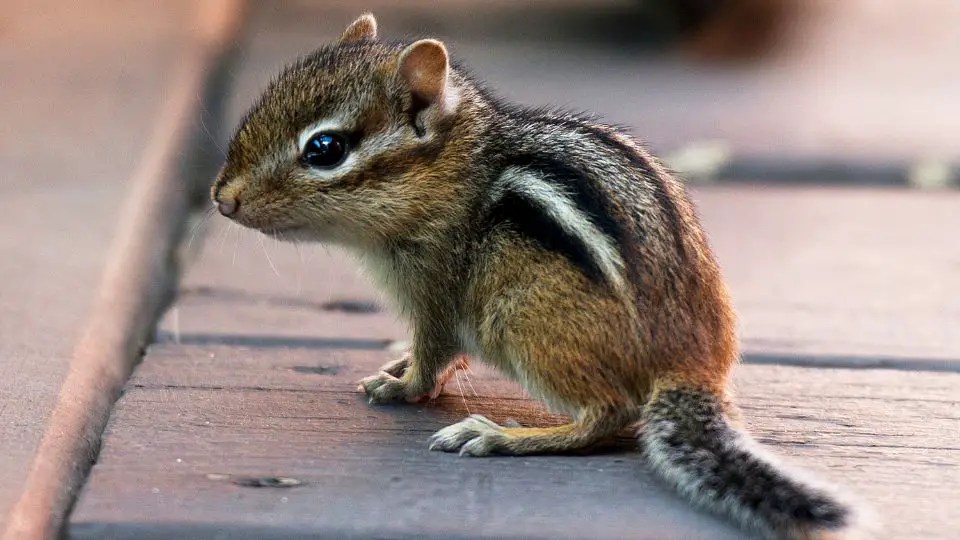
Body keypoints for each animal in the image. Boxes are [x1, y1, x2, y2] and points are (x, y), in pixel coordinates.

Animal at [211, 13, 862, 540]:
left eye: (325, 148)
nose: (222, 199)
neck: (454, 173)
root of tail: (691, 364)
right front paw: (399, 368)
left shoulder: (437, 291)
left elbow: (432, 353)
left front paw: (404, 385)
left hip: (521, 323)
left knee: (608, 416)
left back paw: (500, 436)